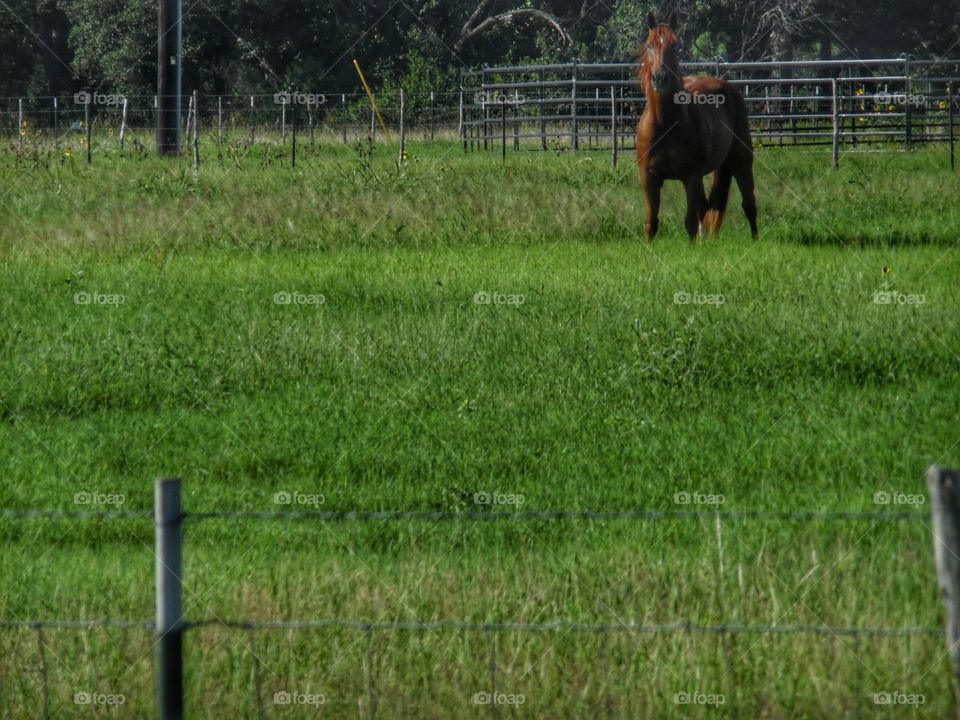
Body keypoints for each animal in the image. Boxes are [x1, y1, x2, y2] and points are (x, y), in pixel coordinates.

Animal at [636, 12, 758, 241]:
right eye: (649, 45)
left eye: (675, 46)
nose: (660, 78)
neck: (665, 124)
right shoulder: (649, 176)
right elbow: (651, 222)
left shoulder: (691, 177)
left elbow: (690, 222)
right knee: (707, 207)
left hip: (741, 161)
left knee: (749, 205)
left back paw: (755, 241)